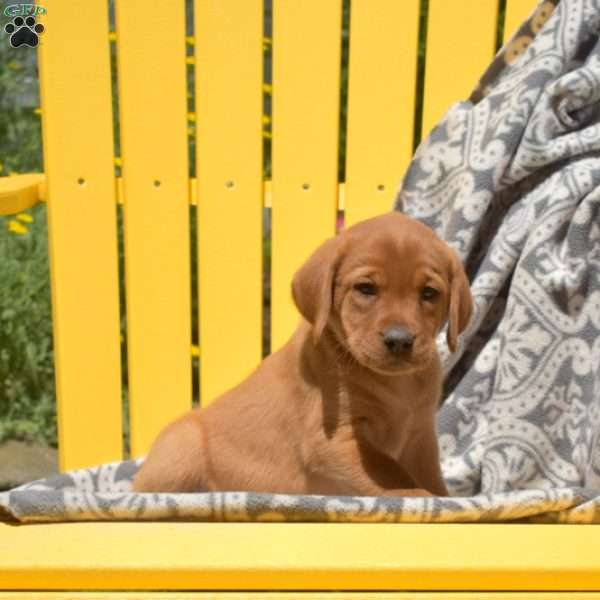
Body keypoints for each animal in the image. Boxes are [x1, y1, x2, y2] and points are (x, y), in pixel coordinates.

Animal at [134, 211, 472, 496]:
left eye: (429, 293)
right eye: (366, 289)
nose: (399, 340)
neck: (398, 385)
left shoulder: (420, 434)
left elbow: (429, 476)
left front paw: (441, 497)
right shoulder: (333, 436)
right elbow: (387, 472)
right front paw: (415, 495)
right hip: (183, 444)